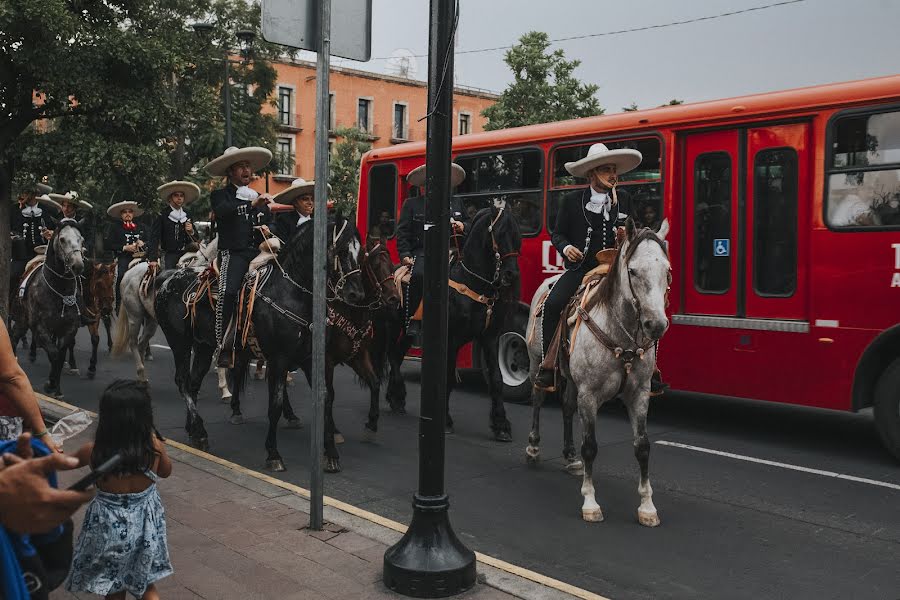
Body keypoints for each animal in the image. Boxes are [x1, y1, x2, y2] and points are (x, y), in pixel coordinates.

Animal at [9, 220, 86, 398]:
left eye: (81, 239)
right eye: (62, 239)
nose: (78, 265)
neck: (60, 291)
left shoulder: (69, 328)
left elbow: (60, 356)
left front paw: (56, 388)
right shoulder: (40, 328)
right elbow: (54, 354)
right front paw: (50, 385)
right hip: (22, 319)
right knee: (14, 337)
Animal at [378, 206, 520, 440]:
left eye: (518, 235)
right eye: (499, 233)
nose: (511, 274)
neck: (474, 283)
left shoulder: (490, 337)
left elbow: (497, 379)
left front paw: (501, 424)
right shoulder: (451, 339)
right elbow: (448, 378)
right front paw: (444, 420)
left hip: (409, 332)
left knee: (397, 355)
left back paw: (396, 398)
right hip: (393, 325)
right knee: (390, 354)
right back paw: (397, 393)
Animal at [520, 219, 668, 524]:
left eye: (667, 271)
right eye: (633, 271)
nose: (656, 325)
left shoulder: (640, 394)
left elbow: (643, 446)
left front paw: (647, 507)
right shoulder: (589, 395)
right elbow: (590, 445)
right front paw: (590, 502)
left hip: (571, 378)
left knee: (566, 407)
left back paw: (569, 456)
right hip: (536, 363)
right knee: (538, 400)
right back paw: (533, 447)